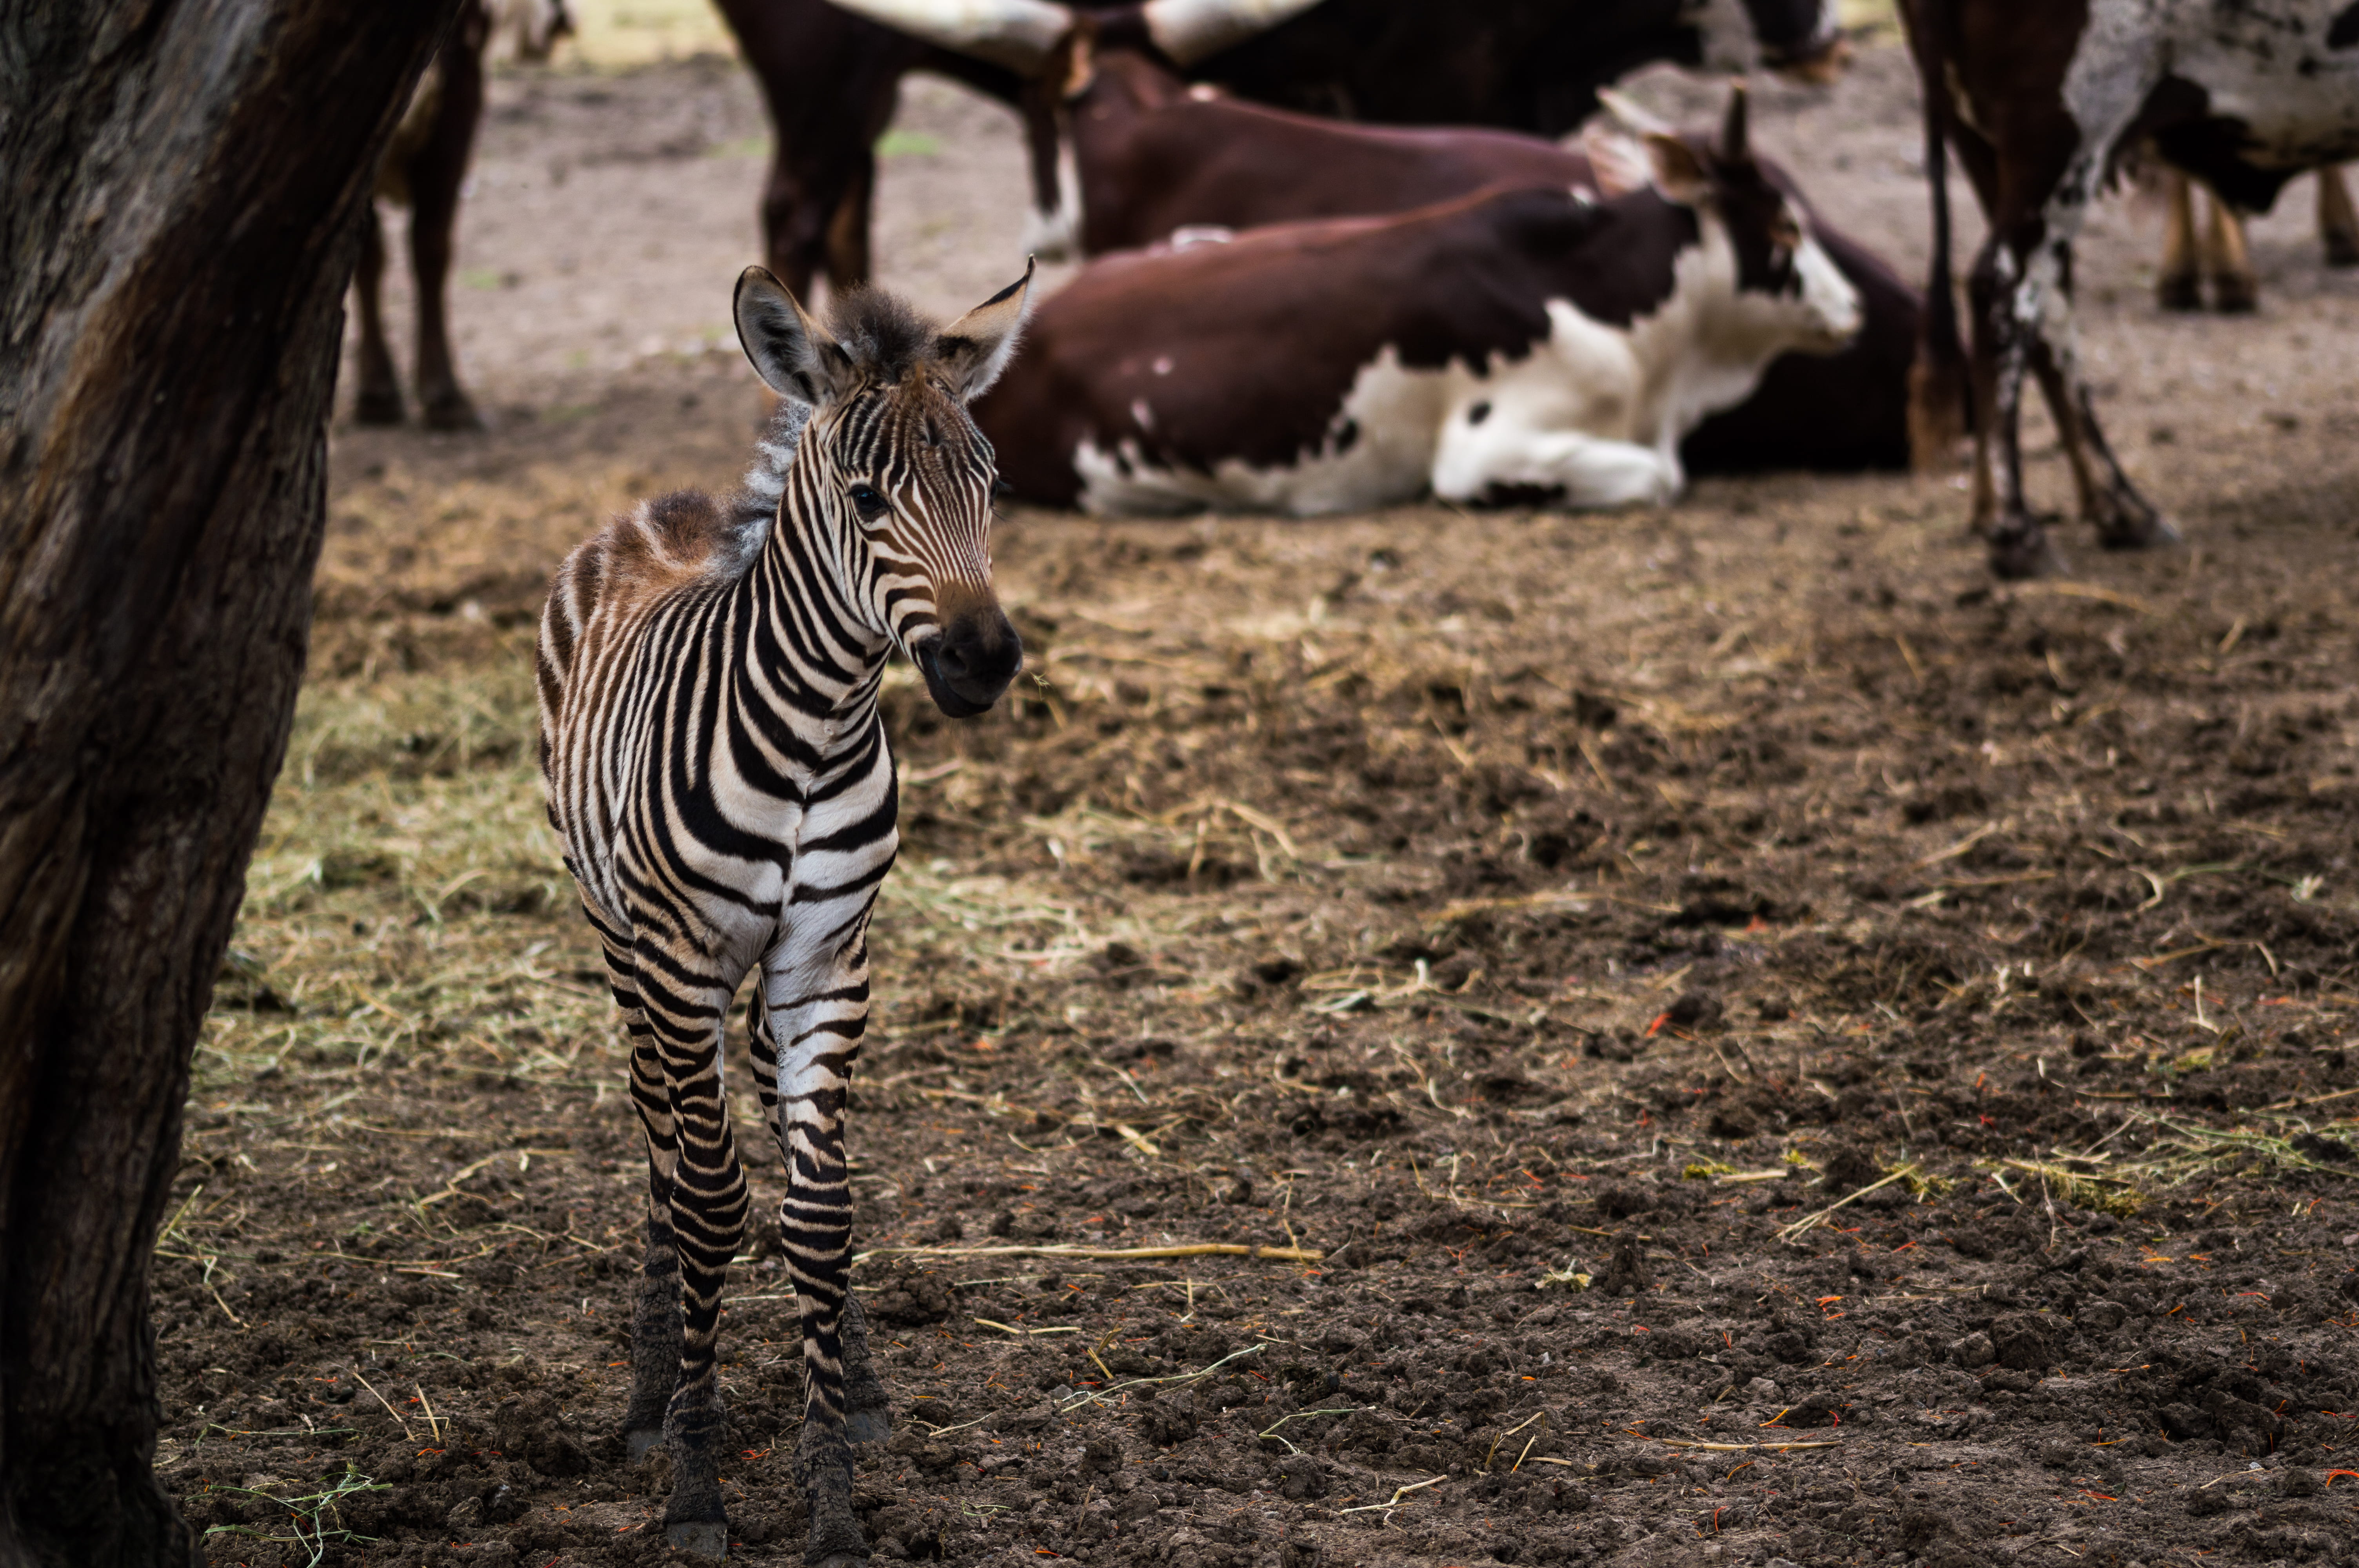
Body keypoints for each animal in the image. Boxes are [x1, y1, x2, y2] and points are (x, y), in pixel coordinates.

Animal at [536, 261, 1034, 1560]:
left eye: (992, 484)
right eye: (866, 499)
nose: (985, 662)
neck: (815, 731)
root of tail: (668, 506)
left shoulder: (827, 957)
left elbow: (820, 1211)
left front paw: (833, 1488)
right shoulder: (679, 956)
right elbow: (711, 1201)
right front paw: (697, 1481)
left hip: (758, 980)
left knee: (751, 1111)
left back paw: (850, 1381)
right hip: (623, 940)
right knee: (662, 1137)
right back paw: (652, 1391)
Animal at [1902, 0, 2359, 578]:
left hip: (1987, 144)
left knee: (2049, 312)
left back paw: (2119, 508)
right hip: (2065, 128)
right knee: (2003, 289)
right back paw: (2017, 530)